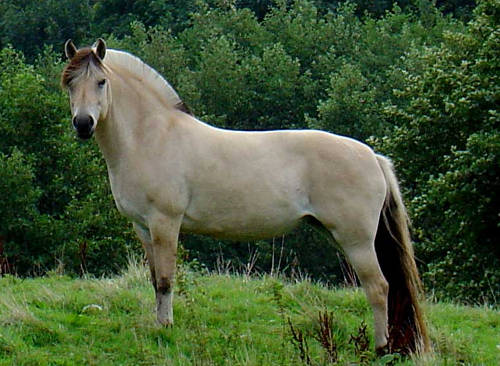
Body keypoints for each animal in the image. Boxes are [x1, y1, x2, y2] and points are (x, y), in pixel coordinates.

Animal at [62, 38, 430, 354]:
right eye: (69, 83)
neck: (151, 137)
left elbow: (166, 280)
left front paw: (166, 329)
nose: (83, 124)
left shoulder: (165, 223)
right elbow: (154, 281)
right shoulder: (143, 228)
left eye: (101, 82)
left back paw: (382, 348)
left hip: (355, 240)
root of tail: (372, 156)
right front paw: (158, 325)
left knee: (379, 287)